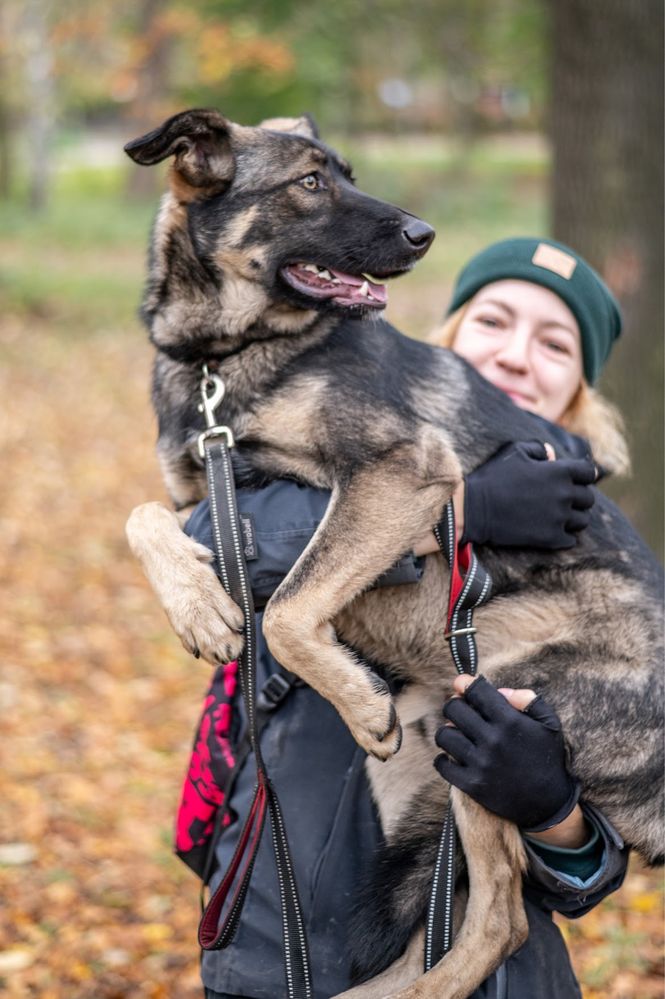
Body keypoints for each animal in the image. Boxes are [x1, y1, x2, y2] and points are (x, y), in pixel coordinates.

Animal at [122, 109, 660, 999]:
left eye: (347, 173)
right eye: (310, 182)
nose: (422, 234)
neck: (224, 357)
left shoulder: (404, 470)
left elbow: (292, 607)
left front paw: (340, 687)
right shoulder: (200, 499)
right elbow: (141, 520)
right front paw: (198, 608)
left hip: (494, 724)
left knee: (499, 917)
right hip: (423, 762)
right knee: (441, 926)